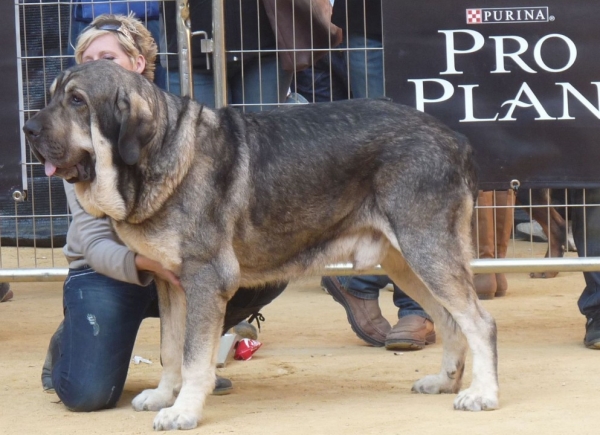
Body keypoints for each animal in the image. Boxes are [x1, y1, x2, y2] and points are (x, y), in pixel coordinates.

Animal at [23, 61, 500, 432]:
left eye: (77, 101)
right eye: (52, 96)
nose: (27, 128)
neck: (158, 154)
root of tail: (456, 139)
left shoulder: (205, 278)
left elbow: (194, 356)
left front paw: (183, 411)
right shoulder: (170, 283)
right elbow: (170, 349)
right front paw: (163, 395)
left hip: (427, 249)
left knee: (479, 322)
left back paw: (483, 394)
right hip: (405, 262)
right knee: (451, 320)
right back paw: (445, 381)